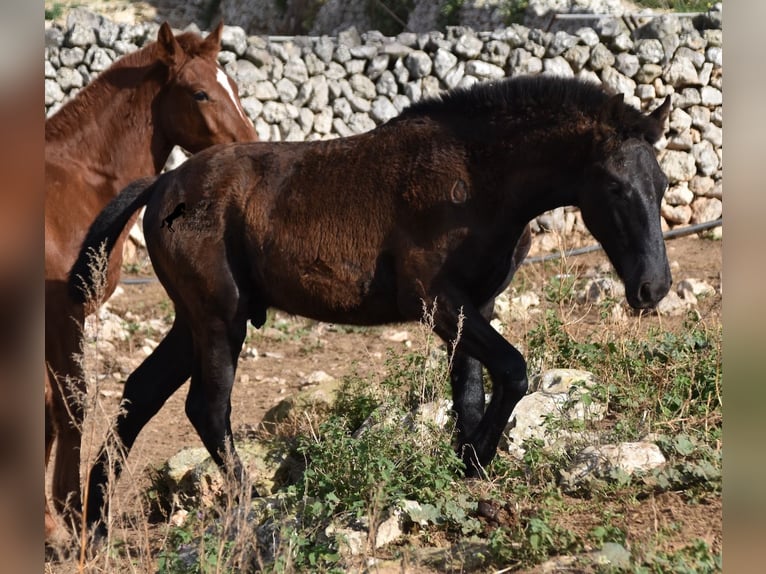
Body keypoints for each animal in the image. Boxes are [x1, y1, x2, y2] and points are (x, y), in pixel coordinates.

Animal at [47, 20, 258, 536]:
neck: (76, 177)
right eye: (200, 93)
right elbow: (69, 405)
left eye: (234, 85)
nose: (248, 144)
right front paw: (67, 516)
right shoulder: (61, 311)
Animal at [70, 74, 672, 536]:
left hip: (193, 322)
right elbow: (514, 370)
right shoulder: (437, 301)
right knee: (207, 408)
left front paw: (468, 475)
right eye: (615, 187)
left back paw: (93, 523)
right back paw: (246, 505)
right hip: (221, 318)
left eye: (663, 185)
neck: (475, 176)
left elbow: (471, 395)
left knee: (141, 393)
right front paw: (474, 461)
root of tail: (163, 184)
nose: (654, 288)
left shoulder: (472, 307)